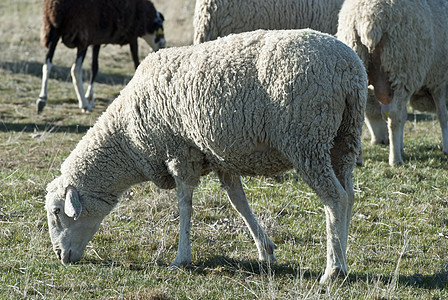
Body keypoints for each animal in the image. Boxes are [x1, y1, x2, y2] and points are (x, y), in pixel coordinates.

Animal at [37, 0, 166, 113]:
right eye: (160, 26)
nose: (163, 44)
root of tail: (58, 6)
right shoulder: (132, 36)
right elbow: (136, 64)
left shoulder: (97, 40)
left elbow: (95, 68)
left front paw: (90, 96)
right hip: (82, 34)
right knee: (75, 69)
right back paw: (84, 105)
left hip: (53, 29)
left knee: (47, 63)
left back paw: (42, 99)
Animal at [44, 28, 368, 284]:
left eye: (57, 212)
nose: (60, 256)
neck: (128, 136)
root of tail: (348, 68)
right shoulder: (220, 156)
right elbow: (239, 203)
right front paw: (265, 250)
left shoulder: (179, 151)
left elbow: (185, 205)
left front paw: (181, 258)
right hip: (344, 139)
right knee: (349, 195)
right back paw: (343, 257)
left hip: (307, 139)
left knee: (335, 198)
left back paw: (334, 269)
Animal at [338, 0, 448, 165]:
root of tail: (368, 18)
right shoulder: (439, 79)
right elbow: (443, 115)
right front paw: (447, 147)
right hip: (402, 66)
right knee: (395, 116)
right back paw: (395, 159)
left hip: (357, 56)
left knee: (359, 115)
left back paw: (358, 160)